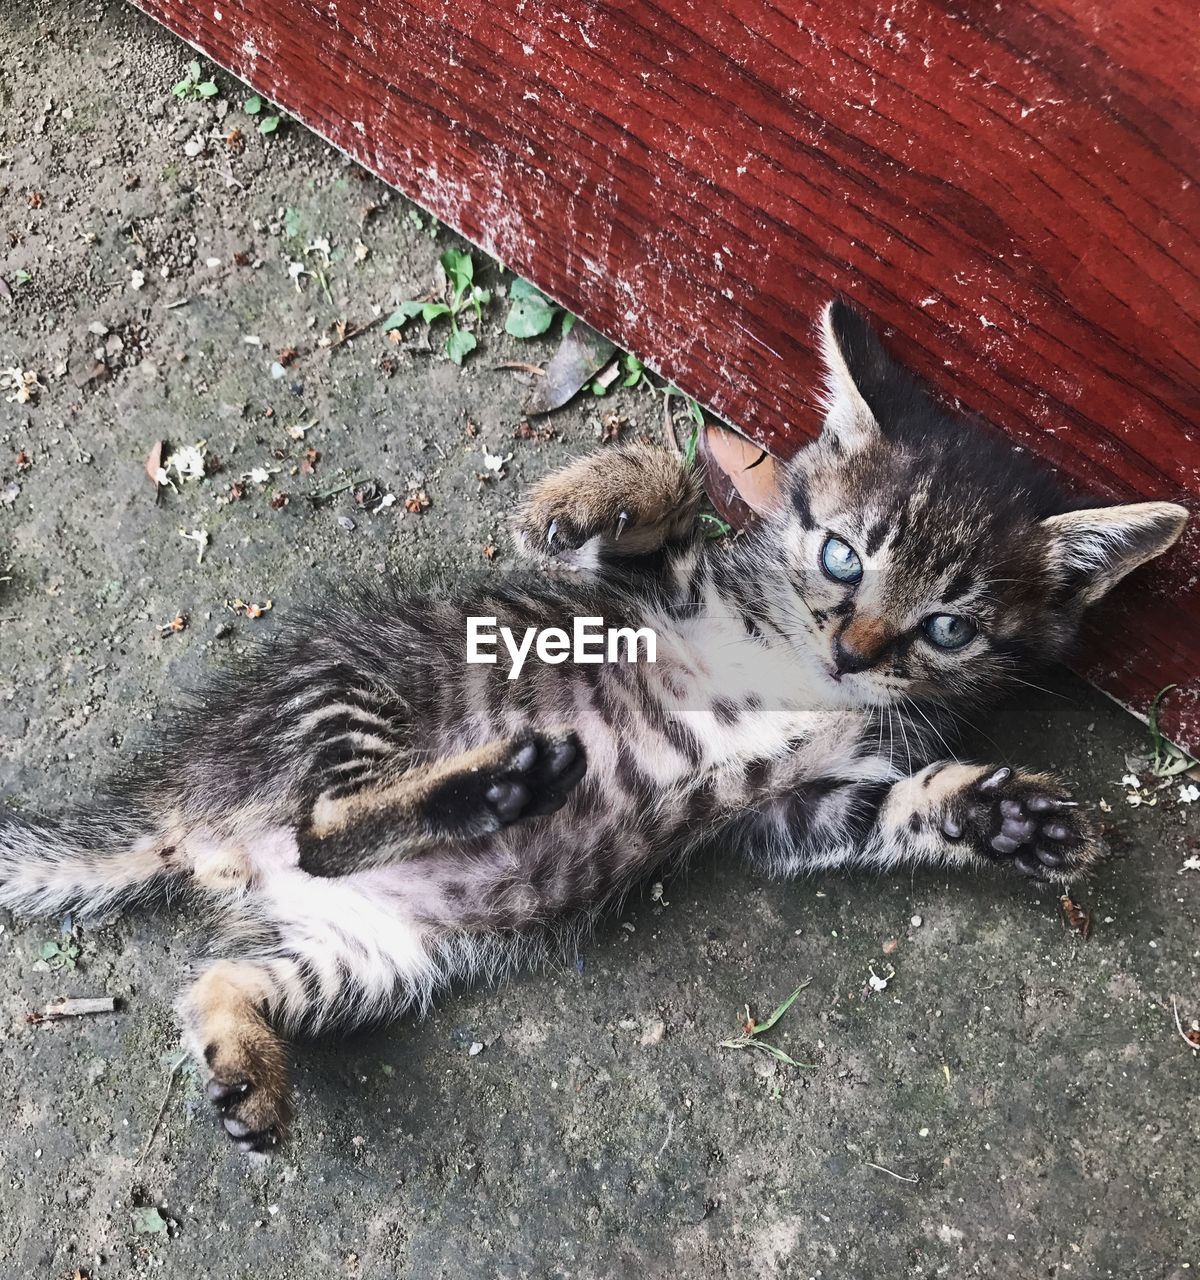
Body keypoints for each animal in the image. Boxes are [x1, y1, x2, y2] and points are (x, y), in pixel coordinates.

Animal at [0, 304, 1176, 1157]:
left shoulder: (801, 807)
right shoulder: (656, 594)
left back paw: (247, 1060)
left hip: (367, 952)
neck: (806, 677)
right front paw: (579, 494)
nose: (853, 650)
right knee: (325, 819)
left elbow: (899, 809)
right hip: (359, 691)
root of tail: (185, 802)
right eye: (843, 556)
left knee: (228, 964)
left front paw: (1010, 818)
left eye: (948, 627)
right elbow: (661, 492)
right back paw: (495, 784)